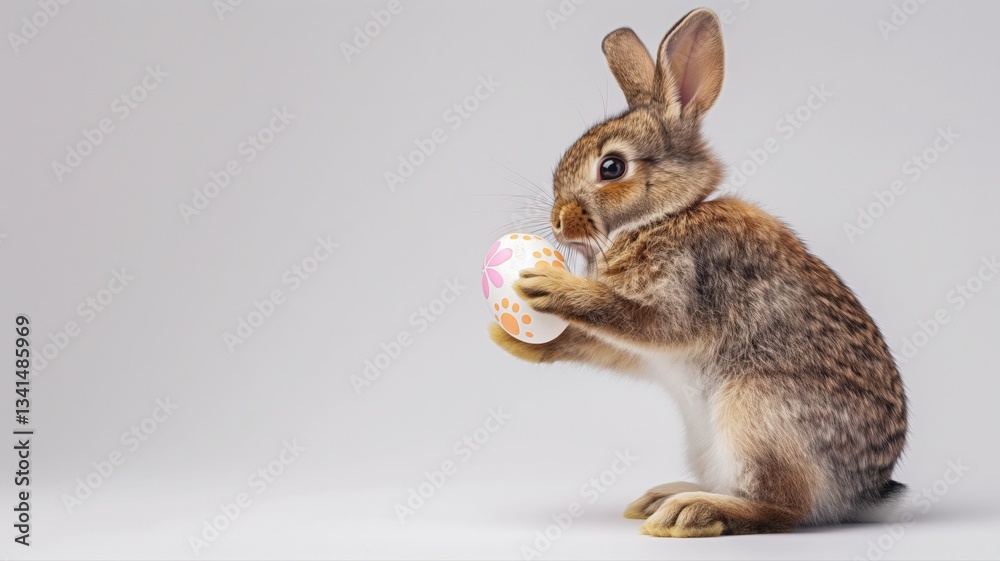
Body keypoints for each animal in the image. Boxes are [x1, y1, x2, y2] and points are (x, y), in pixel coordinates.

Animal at [488, 8, 907, 537]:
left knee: (784, 507)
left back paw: (692, 513)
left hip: (754, 409)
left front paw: (549, 286)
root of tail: (862, 493)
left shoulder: (686, 293)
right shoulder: (644, 355)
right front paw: (512, 339)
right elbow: (605, 345)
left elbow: (632, 319)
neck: (662, 218)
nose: (559, 221)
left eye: (611, 167)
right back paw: (663, 497)